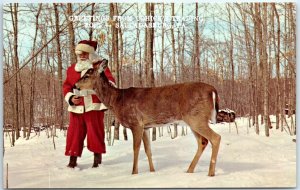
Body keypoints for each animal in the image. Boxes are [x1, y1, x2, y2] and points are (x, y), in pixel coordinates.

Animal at [75, 59, 220, 177]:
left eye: (87, 75)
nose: (75, 86)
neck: (117, 101)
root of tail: (212, 90)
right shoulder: (146, 127)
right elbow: (148, 150)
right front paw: (152, 171)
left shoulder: (135, 123)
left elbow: (136, 148)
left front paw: (134, 173)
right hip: (193, 120)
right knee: (203, 142)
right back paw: (189, 170)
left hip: (196, 118)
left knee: (215, 138)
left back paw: (210, 173)